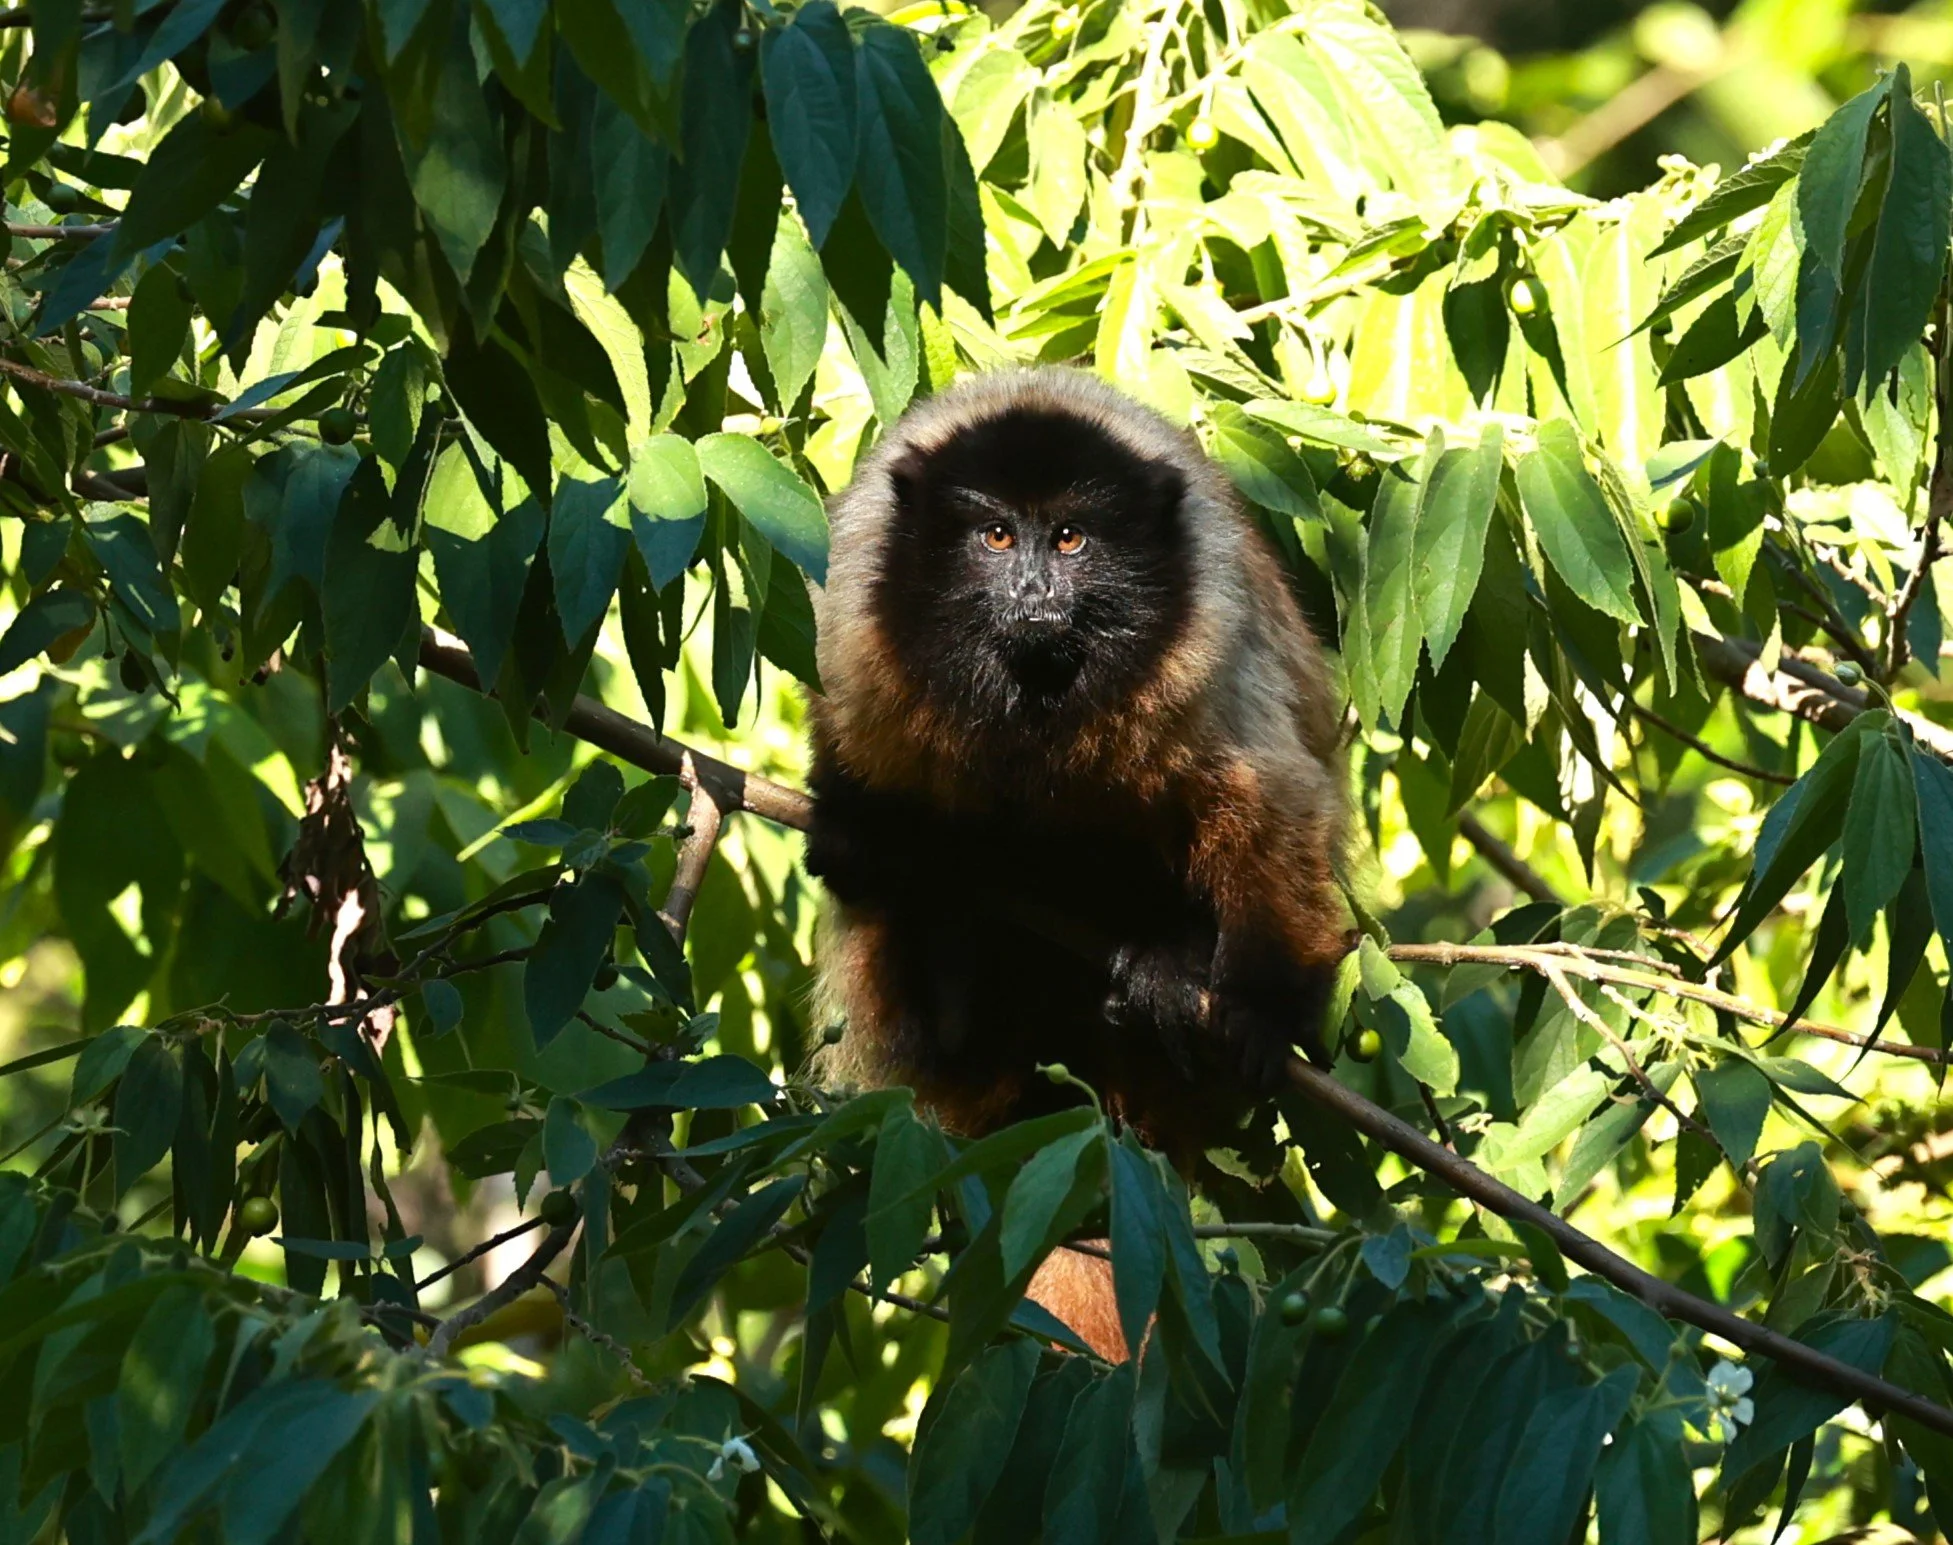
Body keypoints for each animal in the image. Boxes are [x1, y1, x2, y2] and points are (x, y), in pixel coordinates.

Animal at [801, 367, 1351, 1355]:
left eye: (1068, 537)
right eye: (994, 536)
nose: (1030, 588)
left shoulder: (1207, 630)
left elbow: (1269, 794)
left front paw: (1259, 1007)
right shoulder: (855, 613)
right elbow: (844, 741)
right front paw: (859, 835)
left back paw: (1161, 975)